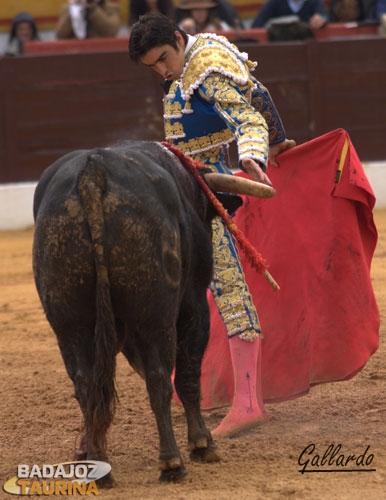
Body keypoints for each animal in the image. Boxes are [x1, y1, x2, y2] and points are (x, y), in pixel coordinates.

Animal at [31, 141, 272, 484]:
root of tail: (92, 174)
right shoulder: (193, 304)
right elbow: (185, 374)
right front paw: (202, 443)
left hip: (69, 321)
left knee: (85, 383)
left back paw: (97, 463)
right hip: (154, 315)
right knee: (160, 377)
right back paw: (171, 461)